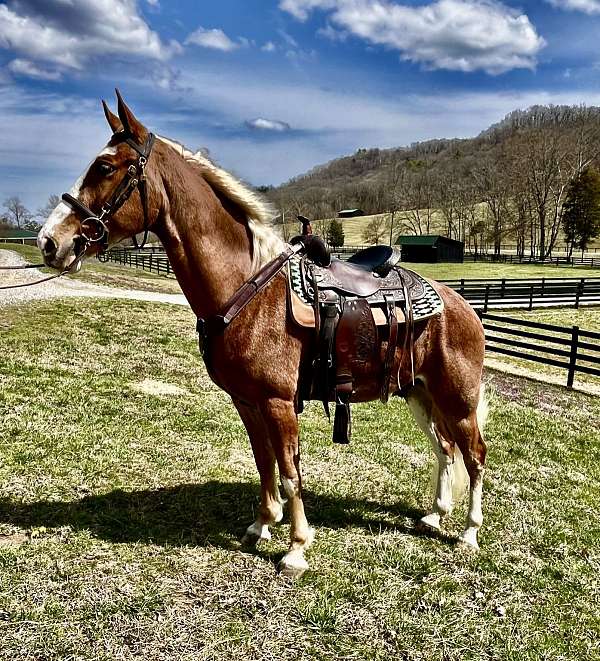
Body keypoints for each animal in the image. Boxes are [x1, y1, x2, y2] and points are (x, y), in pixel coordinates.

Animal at [37, 91, 488, 576]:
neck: (247, 288)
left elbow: (290, 471)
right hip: (420, 394)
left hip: (457, 399)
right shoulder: (247, 400)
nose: (49, 241)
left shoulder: (277, 402)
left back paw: (469, 533)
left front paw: (296, 548)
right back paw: (435, 516)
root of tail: (463, 306)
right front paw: (262, 525)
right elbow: (264, 463)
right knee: (445, 449)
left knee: (475, 455)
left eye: (105, 167)